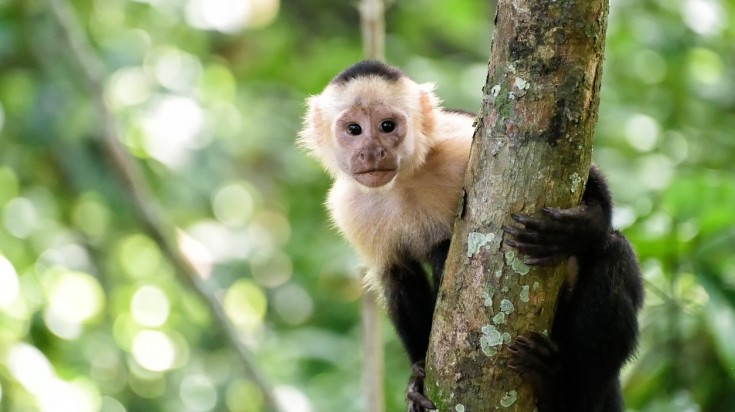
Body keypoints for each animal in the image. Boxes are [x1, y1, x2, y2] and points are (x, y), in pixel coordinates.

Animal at [300, 58, 644, 412]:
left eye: (387, 126)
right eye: (353, 129)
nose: (372, 152)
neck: (404, 180)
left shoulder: (458, 141)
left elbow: (586, 176)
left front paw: (578, 227)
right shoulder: (349, 208)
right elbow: (398, 276)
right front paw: (417, 376)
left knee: (614, 253)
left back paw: (563, 392)